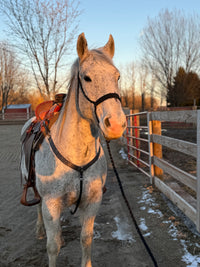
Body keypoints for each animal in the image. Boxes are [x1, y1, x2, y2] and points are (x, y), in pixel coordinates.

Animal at [20, 33, 126, 267]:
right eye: (87, 78)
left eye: (117, 76)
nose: (115, 124)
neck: (77, 155)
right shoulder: (51, 204)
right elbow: (53, 246)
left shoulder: (93, 201)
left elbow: (86, 239)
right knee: (37, 205)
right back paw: (40, 230)